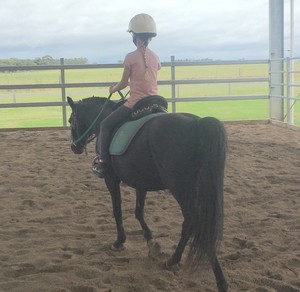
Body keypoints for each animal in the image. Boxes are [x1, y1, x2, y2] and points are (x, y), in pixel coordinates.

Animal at [67, 96, 227, 292]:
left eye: (71, 120)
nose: (74, 147)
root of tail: (198, 124)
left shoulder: (111, 179)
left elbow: (117, 210)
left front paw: (119, 241)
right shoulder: (139, 181)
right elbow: (138, 211)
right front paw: (151, 242)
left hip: (181, 188)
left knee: (194, 222)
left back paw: (192, 268)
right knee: (194, 223)